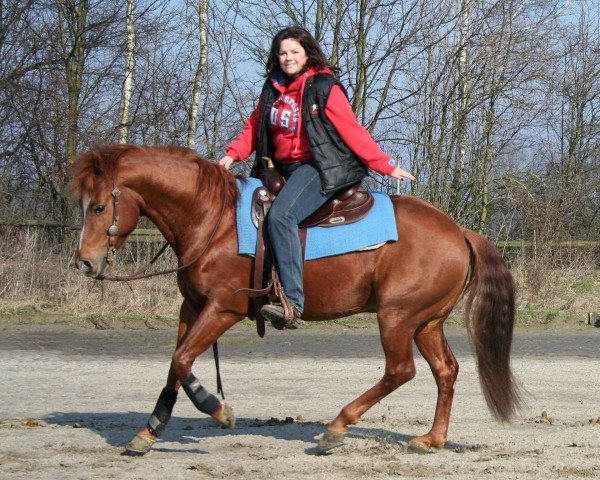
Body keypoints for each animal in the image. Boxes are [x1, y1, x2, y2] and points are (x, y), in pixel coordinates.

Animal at [70, 144, 520, 456]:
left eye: (99, 206)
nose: (85, 262)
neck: (213, 219)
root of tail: (459, 231)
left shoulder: (223, 308)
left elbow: (182, 361)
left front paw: (216, 408)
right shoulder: (192, 307)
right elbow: (174, 365)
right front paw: (147, 433)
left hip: (397, 317)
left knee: (401, 370)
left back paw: (337, 427)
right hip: (426, 322)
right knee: (445, 370)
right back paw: (431, 439)